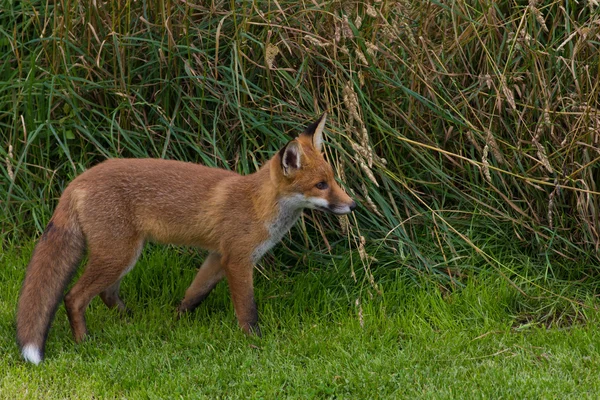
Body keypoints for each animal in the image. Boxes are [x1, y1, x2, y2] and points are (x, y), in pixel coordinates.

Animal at [16, 112, 356, 362]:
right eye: (321, 185)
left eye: (334, 180)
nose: (352, 205)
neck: (258, 205)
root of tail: (77, 180)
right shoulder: (237, 260)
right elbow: (247, 309)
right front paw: (254, 342)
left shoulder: (217, 257)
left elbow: (194, 295)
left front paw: (175, 322)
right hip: (118, 254)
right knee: (73, 297)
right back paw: (85, 341)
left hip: (123, 255)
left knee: (107, 294)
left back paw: (132, 321)